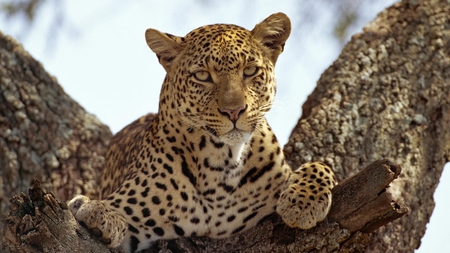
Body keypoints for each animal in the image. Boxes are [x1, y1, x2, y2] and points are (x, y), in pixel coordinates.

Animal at [68, 12, 336, 252]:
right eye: (203, 76)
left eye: (250, 71)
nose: (234, 110)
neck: (222, 163)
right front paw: (95, 211)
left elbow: (320, 165)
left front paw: (302, 203)